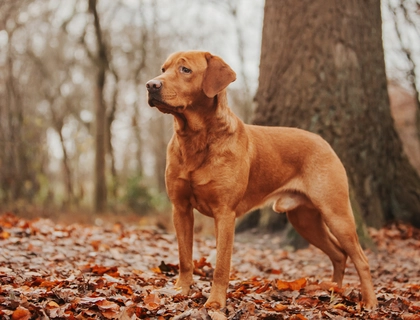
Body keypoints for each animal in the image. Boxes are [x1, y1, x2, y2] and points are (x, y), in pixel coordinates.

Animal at [146, 50, 378, 310]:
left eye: (185, 70)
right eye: (163, 69)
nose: (151, 85)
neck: (195, 138)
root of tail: (324, 142)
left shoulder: (224, 213)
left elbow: (221, 266)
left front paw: (215, 302)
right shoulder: (181, 208)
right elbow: (185, 258)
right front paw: (181, 291)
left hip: (336, 213)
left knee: (361, 258)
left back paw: (370, 302)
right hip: (304, 220)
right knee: (339, 254)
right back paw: (334, 291)